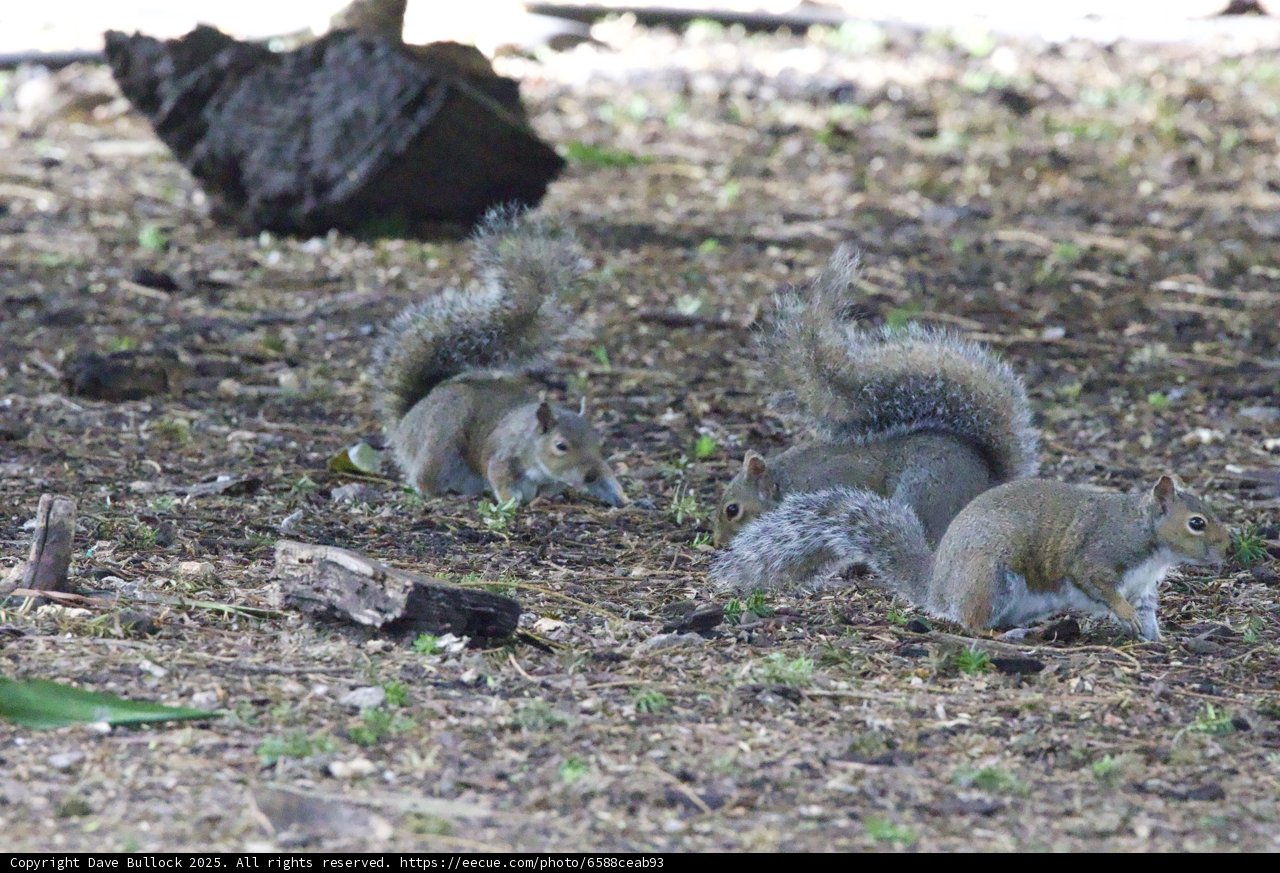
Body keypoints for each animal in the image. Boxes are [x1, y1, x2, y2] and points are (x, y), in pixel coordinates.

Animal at [371, 207, 627, 507]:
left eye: (598, 442)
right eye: (561, 446)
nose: (590, 475)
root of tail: (408, 419)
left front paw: (621, 496)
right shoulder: (502, 457)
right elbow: (499, 477)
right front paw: (510, 502)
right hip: (440, 442)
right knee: (425, 478)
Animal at [711, 475, 1231, 641]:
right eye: (1196, 523)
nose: (1227, 548)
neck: (1148, 538)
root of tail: (939, 585)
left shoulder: (1144, 584)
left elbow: (1147, 612)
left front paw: (1158, 639)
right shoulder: (1097, 555)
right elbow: (1097, 584)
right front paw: (1122, 616)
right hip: (991, 576)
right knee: (975, 623)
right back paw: (1011, 635)